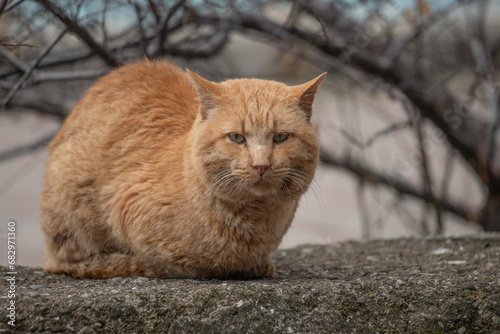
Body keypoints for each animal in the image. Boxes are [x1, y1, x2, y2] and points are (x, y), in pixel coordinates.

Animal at [40, 60, 328, 280]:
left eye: (280, 138)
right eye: (237, 138)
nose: (261, 165)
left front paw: (258, 265)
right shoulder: (126, 207)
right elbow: (176, 264)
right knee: (66, 262)